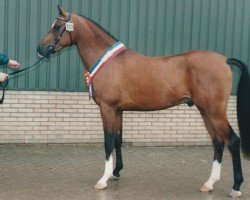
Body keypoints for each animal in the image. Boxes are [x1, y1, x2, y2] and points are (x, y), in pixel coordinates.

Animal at [37, 5, 250, 198]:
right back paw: (209, 184)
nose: (40, 50)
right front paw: (115, 172)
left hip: (214, 112)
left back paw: (236, 186)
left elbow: (108, 141)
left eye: (57, 27)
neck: (108, 61)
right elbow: (118, 139)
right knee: (218, 143)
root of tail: (224, 60)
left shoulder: (107, 108)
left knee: (232, 141)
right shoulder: (118, 110)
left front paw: (103, 179)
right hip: (205, 111)